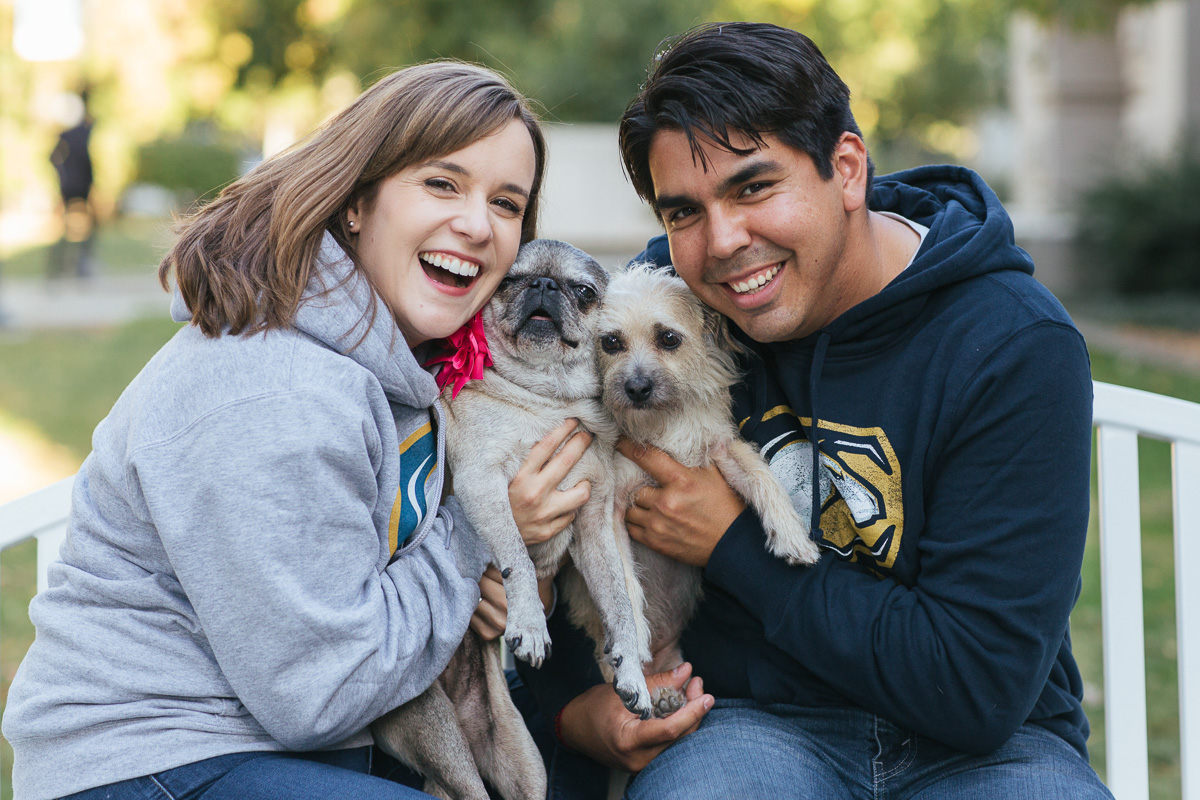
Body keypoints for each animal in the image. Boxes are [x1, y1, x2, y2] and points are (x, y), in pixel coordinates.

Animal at [374, 239, 657, 800]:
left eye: (583, 291)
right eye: (510, 280)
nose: (543, 285)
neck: (545, 401)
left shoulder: (593, 528)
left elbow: (617, 601)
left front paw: (630, 672)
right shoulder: (487, 487)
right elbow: (518, 561)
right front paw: (528, 622)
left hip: (521, 760)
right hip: (437, 734)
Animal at [556, 263, 820, 719]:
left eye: (668, 338)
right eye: (611, 342)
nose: (636, 388)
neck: (662, 425)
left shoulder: (721, 449)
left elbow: (761, 475)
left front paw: (791, 537)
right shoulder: (612, 508)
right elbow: (624, 583)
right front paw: (633, 644)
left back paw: (666, 695)